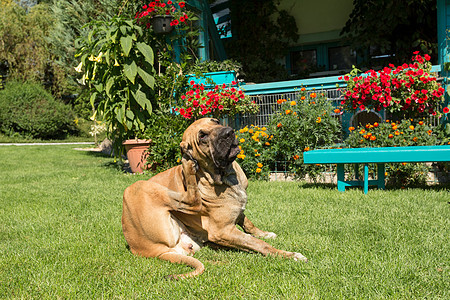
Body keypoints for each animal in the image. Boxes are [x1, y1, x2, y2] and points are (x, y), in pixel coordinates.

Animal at [121, 117, 308, 278]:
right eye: (202, 136)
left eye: (216, 121)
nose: (228, 132)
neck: (225, 177)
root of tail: (148, 249)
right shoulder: (222, 230)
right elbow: (258, 243)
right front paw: (288, 254)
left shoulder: (236, 215)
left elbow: (248, 223)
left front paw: (264, 233)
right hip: (137, 187)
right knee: (193, 201)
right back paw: (187, 165)